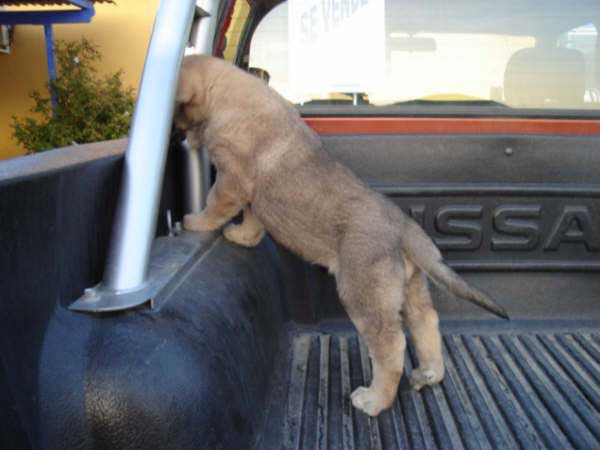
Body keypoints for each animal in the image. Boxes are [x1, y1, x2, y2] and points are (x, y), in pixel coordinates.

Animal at [176, 56, 508, 418]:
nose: (178, 140)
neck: (227, 94)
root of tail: (402, 227)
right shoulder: (253, 196)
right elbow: (253, 220)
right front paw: (241, 236)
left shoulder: (231, 179)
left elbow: (215, 204)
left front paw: (194, 222)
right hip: (410, 287)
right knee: (426, 322)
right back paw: (430, 373)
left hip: (364, 294)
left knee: (392, 345)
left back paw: (374, 400)